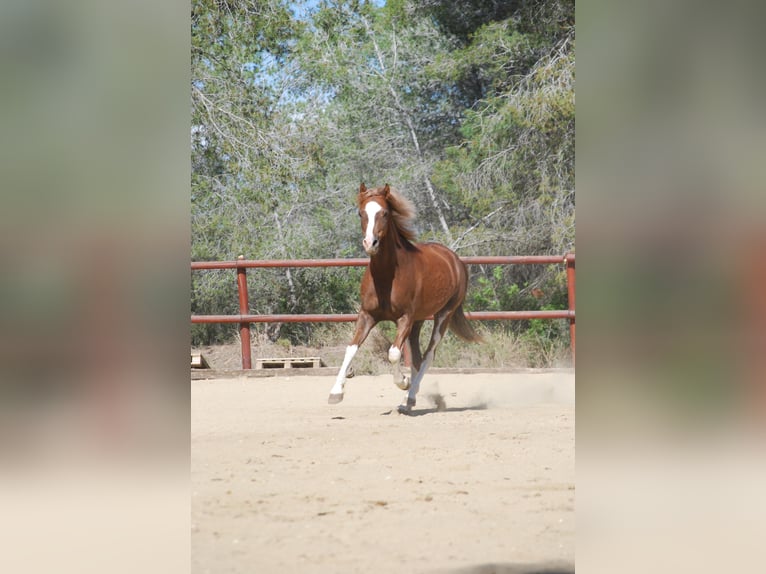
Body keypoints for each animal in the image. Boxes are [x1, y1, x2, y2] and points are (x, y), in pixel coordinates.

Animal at [328, 184, 484, 414]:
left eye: (385, 213)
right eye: (361, 213)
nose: (370, 243)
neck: (387, 276)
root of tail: (455, 260)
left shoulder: (405, 319)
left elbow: (393, 353)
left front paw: (403, 381)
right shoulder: (367, 315)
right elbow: (351, 348)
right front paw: (336, 393)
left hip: (442, 316)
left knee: (428, 355)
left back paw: (409, 396)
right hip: (418, 321)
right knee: (418, 358)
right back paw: (409, 400)